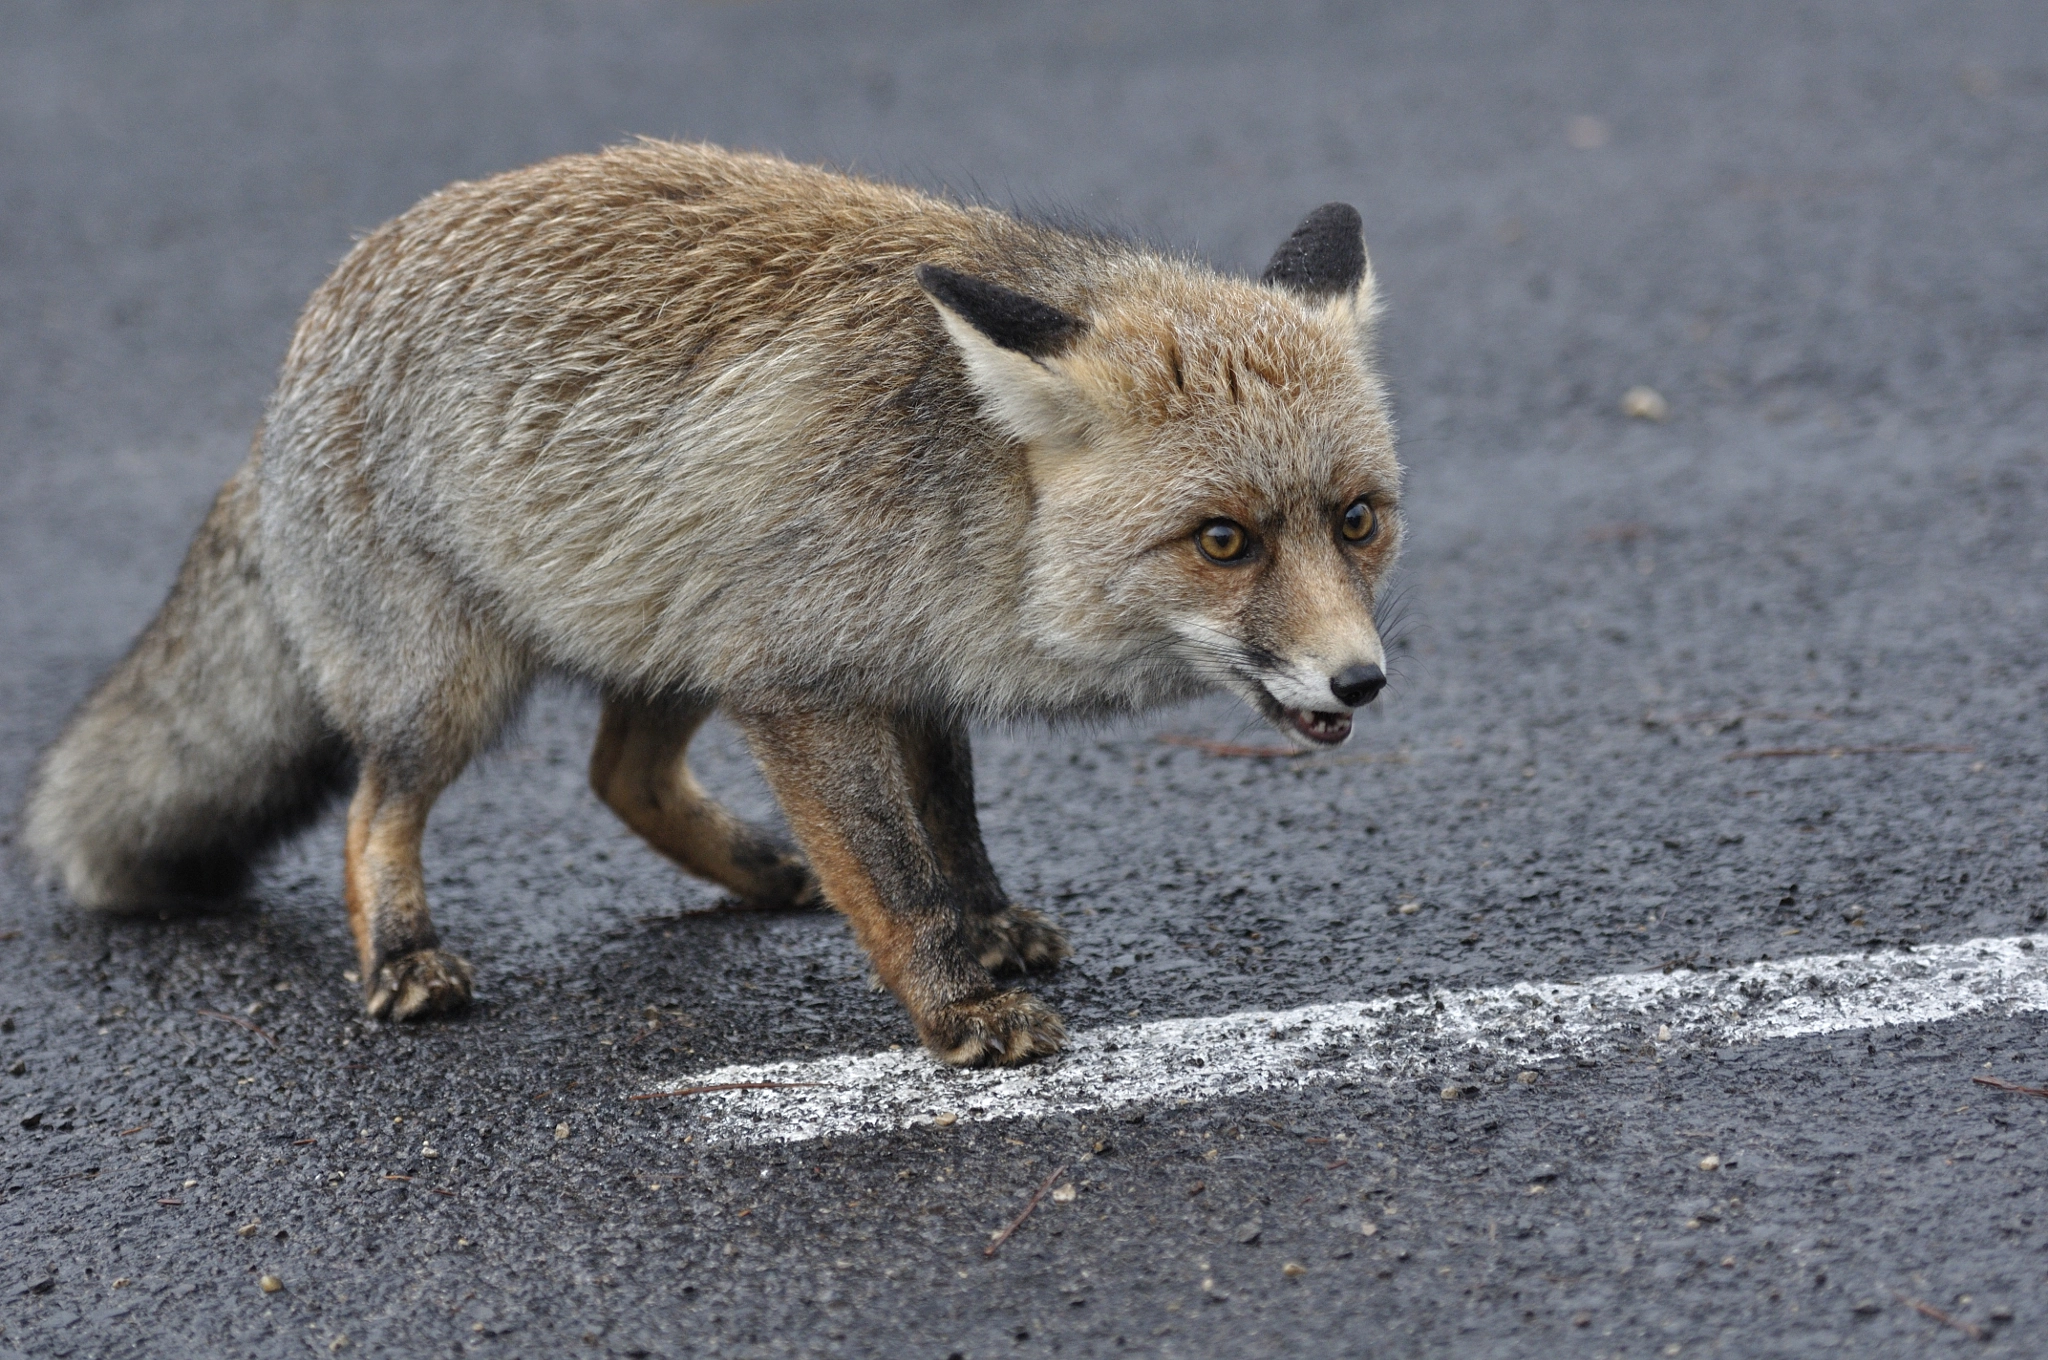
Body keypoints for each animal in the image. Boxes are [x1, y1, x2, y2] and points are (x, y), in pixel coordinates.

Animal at [19, 143, 1392, 1065]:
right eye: (1222, 540)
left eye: (1356, 519)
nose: (1360, 679)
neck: (971, 492)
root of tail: (290, 365)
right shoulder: (797, 680)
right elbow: (892, 869)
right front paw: (959, 1003)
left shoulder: (899, 668)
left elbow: (946, 833)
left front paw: (985, 925)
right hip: (456, 687)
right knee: (374, 810)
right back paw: (402, 954)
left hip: (677, 634)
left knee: (618, 773)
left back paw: (762, 869)